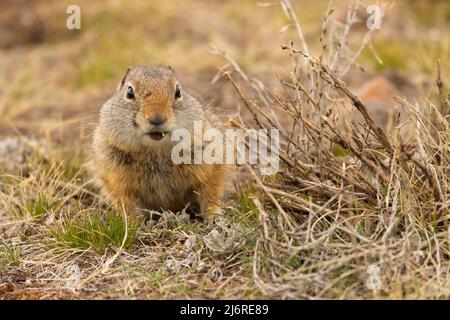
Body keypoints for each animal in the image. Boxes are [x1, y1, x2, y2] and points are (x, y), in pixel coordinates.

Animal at [91, 65, 227, 220]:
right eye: (129, 92)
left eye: (178, 91)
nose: (157, 118)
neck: (156, 150)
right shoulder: (115, 180)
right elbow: (126, 203)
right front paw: (132, 221)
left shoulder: (213, 166)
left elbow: (211, 193)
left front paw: (214, 216)